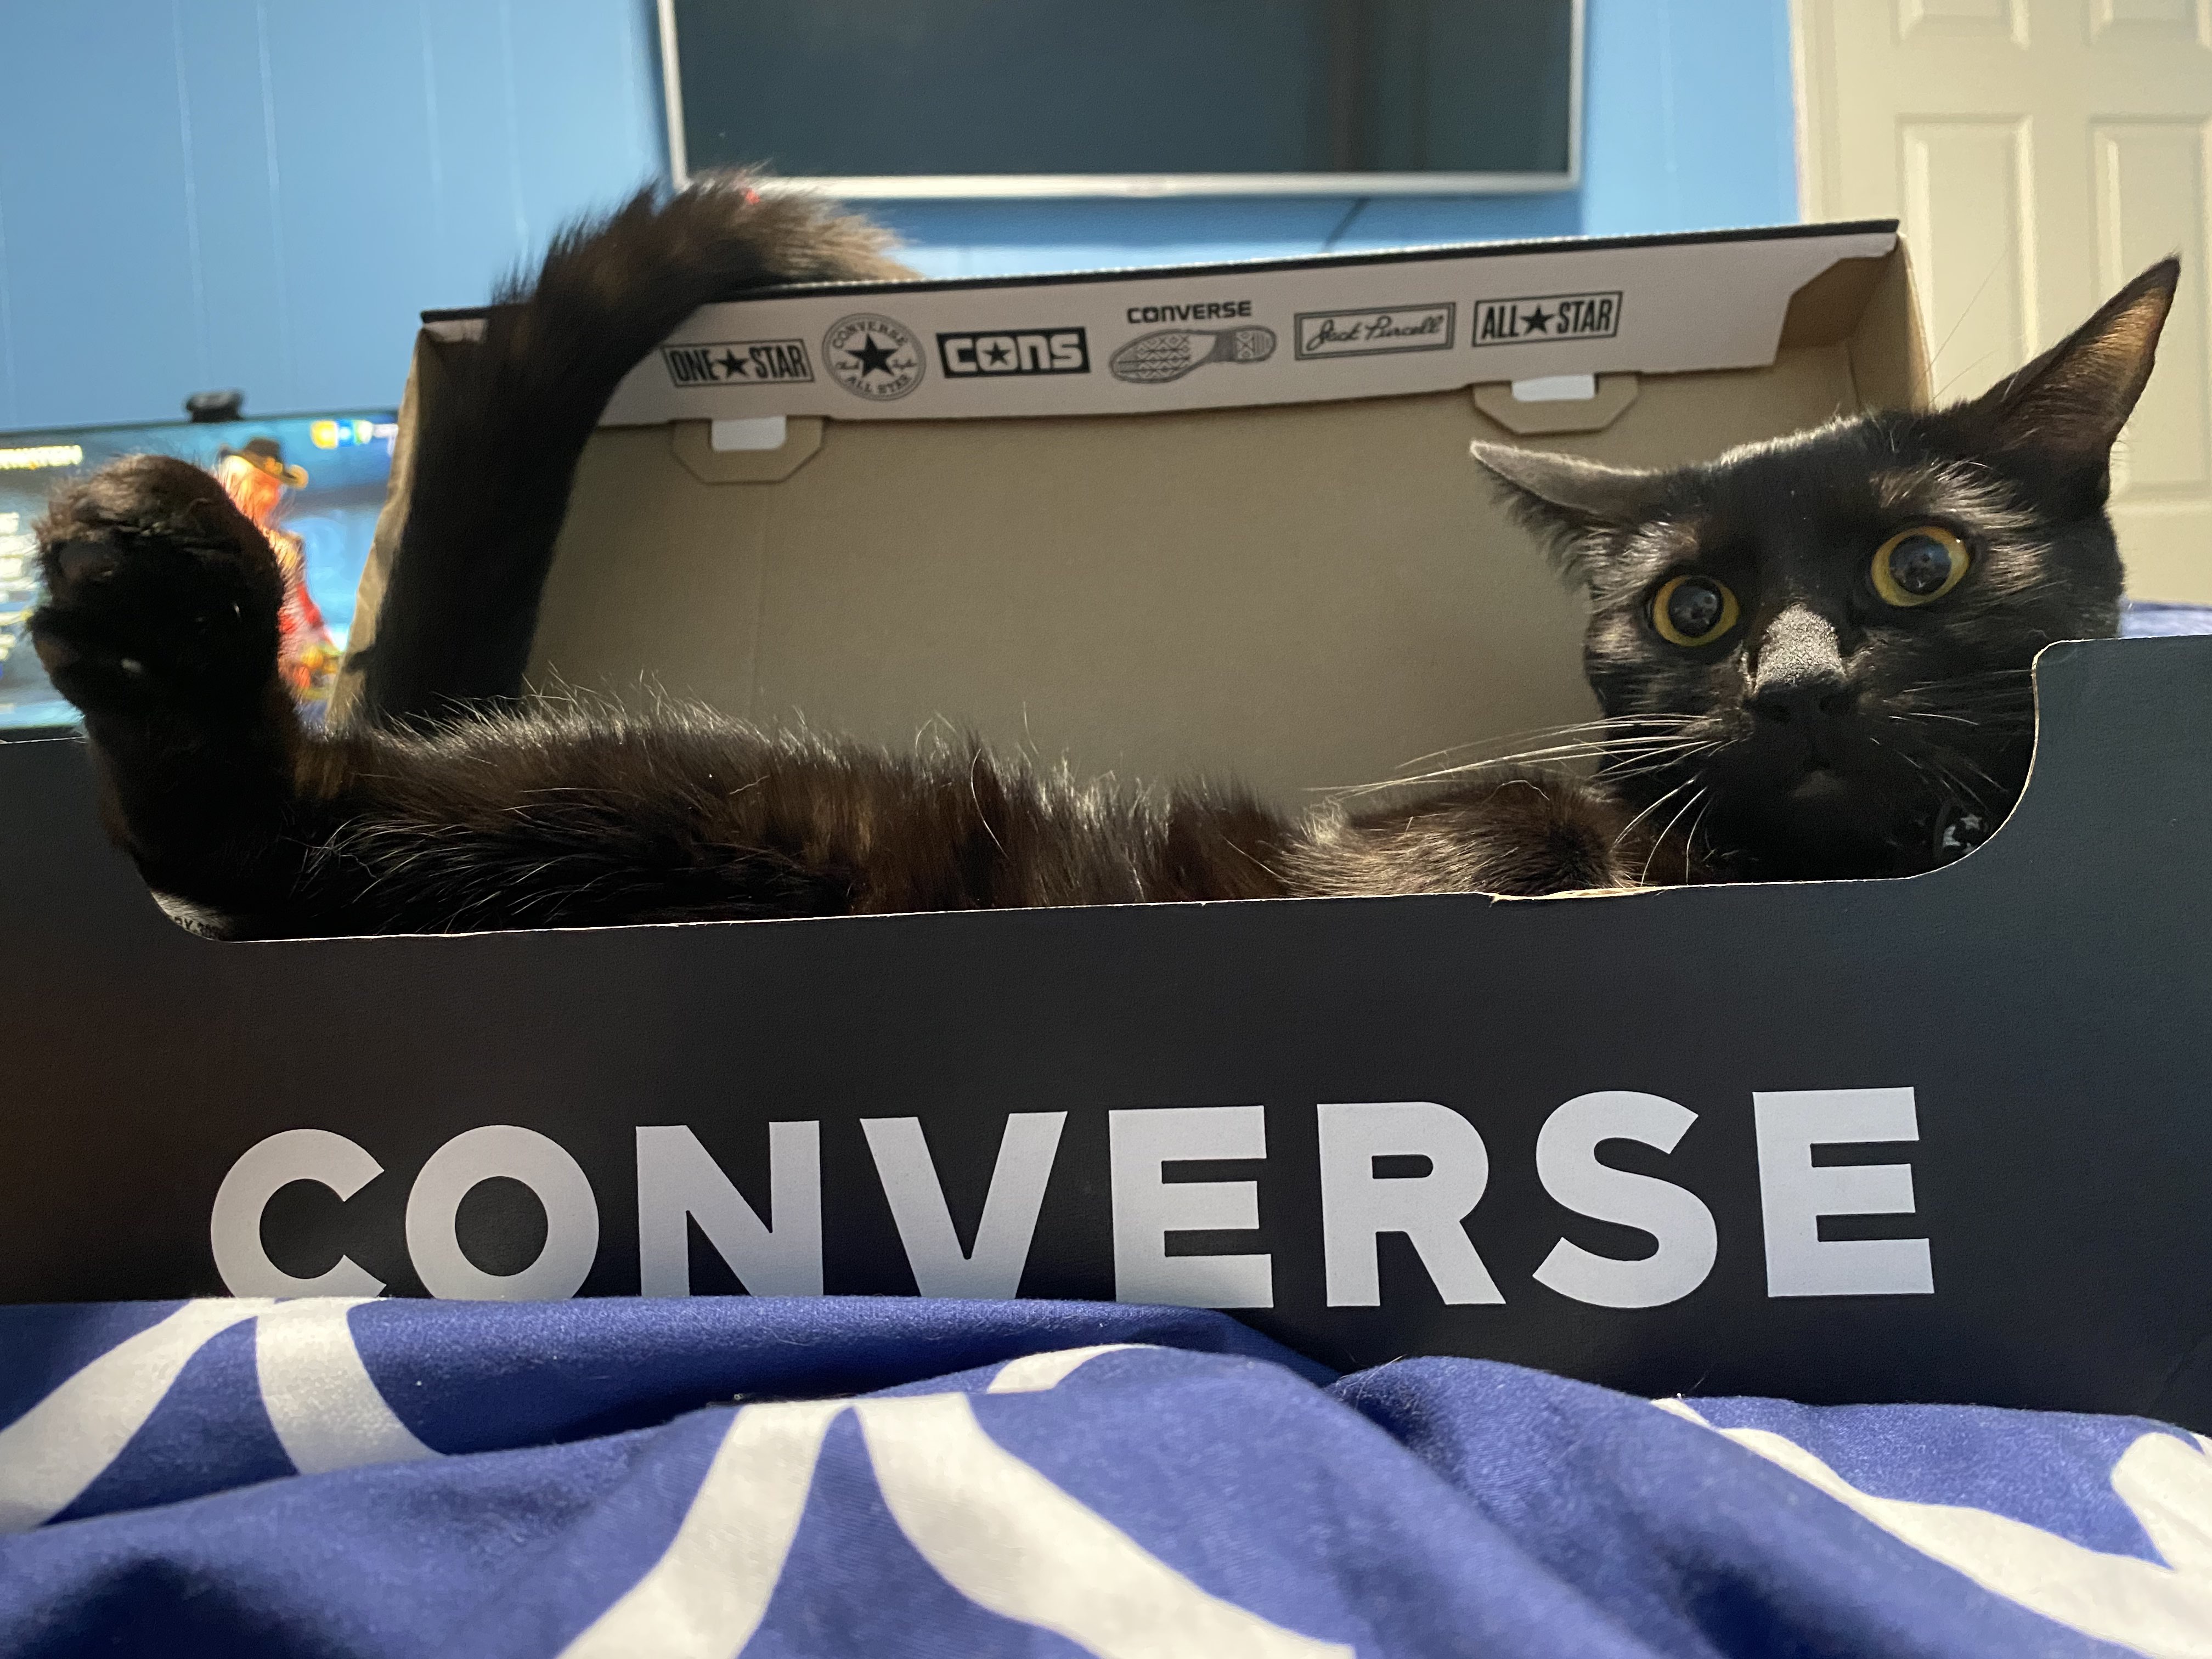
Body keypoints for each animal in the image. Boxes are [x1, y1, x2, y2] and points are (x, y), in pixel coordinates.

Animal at [26, 175, 2177, 938]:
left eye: (1919, 571)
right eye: (1694, 609)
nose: (1795, 681)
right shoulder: (1411, 831)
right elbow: (1458, 852)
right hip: (682, 800)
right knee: (244, 825)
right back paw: (151, 580)